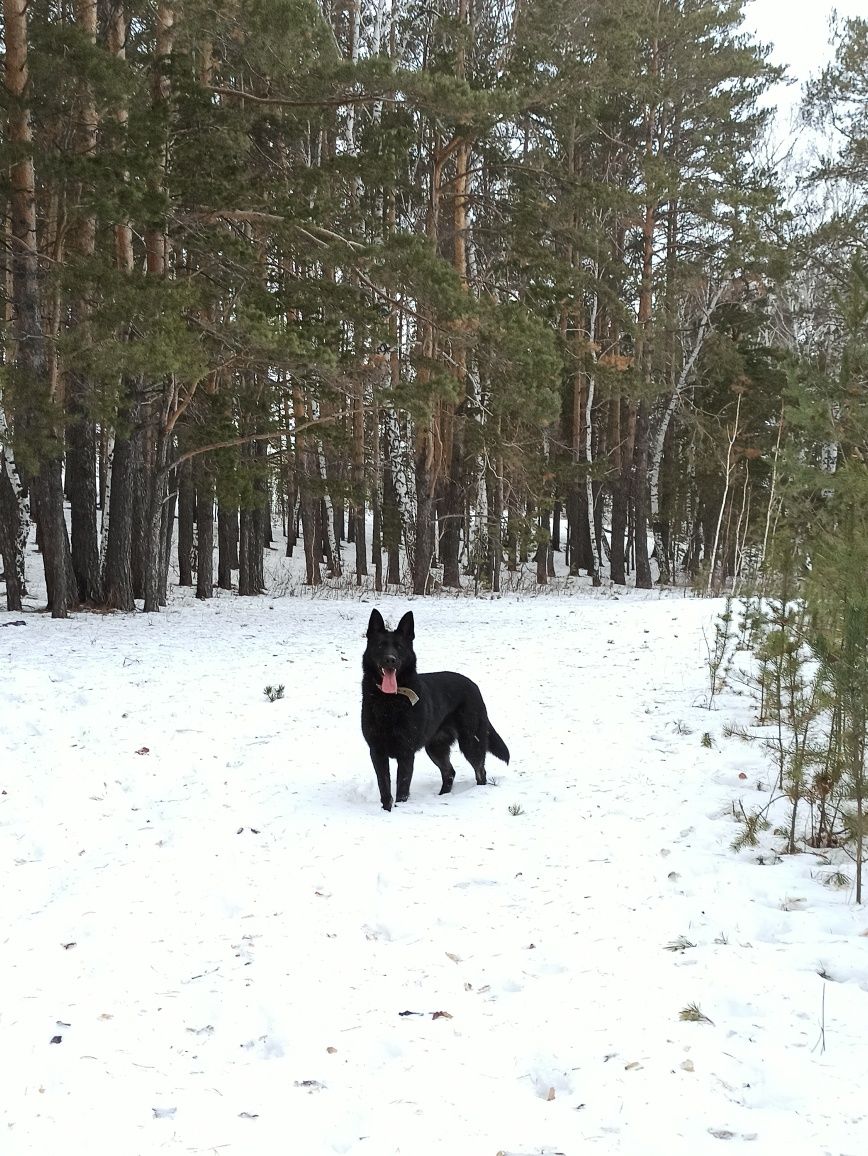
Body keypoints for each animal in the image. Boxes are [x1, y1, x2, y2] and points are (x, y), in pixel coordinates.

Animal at [360, 610, 508, 809]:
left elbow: (402, 789)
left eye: (399, 647)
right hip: (435, 747)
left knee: (480, 771)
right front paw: (386, 810)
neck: (389, 701)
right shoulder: (377, 752)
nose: (391, 660)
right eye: (381, 645)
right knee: (449, 772)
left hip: (471, 742)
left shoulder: (406, 754)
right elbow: (385, 788)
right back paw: (443, 796)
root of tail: (474, 686)